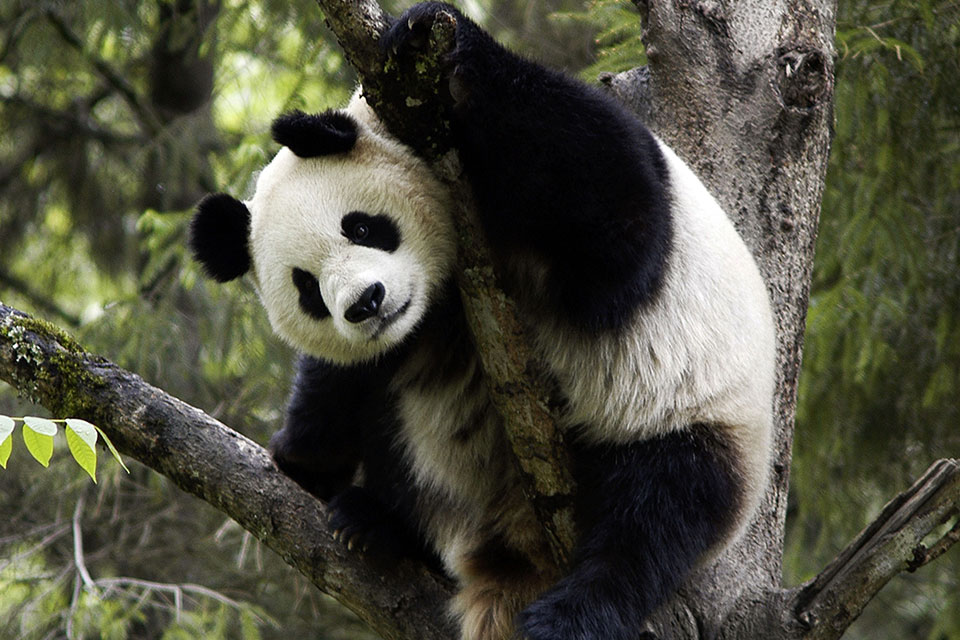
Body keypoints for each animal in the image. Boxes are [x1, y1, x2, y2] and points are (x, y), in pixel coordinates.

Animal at [186, 2, 772, 636]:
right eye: (308, 290)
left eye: (361, 226)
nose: (366, 303)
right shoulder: (401, 334)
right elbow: (341, 377)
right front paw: (303, 458)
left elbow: (618, 228)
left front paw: (429, 35)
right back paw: (377, 525)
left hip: (690, 412)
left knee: (658, 515)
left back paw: (570, 614)